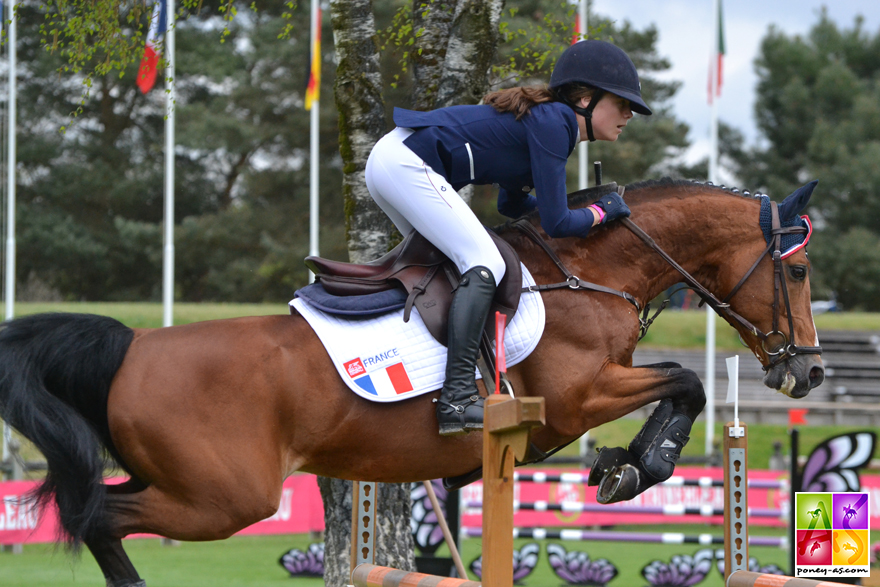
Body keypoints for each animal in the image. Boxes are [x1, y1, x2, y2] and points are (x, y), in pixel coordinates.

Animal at [0, 179, 824, 587]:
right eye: (798, 270)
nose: (810, 369)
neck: (589, 273)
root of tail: (132, 343)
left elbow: (681, 384)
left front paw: (621, 465)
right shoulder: (575, 398)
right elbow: (685, 382)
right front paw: (636, 467)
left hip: (183, 483)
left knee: (101, 515)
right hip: (223, 498)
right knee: (97, 518)